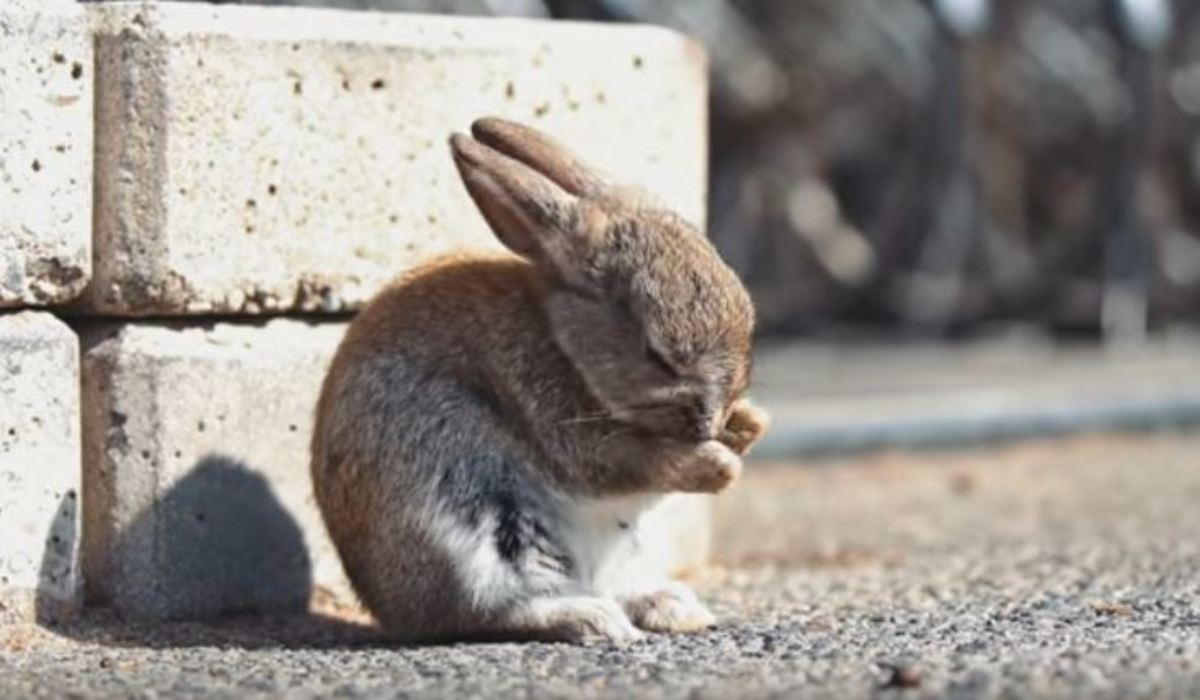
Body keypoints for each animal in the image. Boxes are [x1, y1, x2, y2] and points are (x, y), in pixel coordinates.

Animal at [309, 116, 768, 648]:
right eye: (657, 355)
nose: (711, 422)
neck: (563, 341)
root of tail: (392, 612)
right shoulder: (555, 417)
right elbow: (629, 462)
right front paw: (721, 466)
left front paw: (749, 426)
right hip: (477, 518)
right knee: (490, 608)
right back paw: (593, 618)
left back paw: (672, 608)